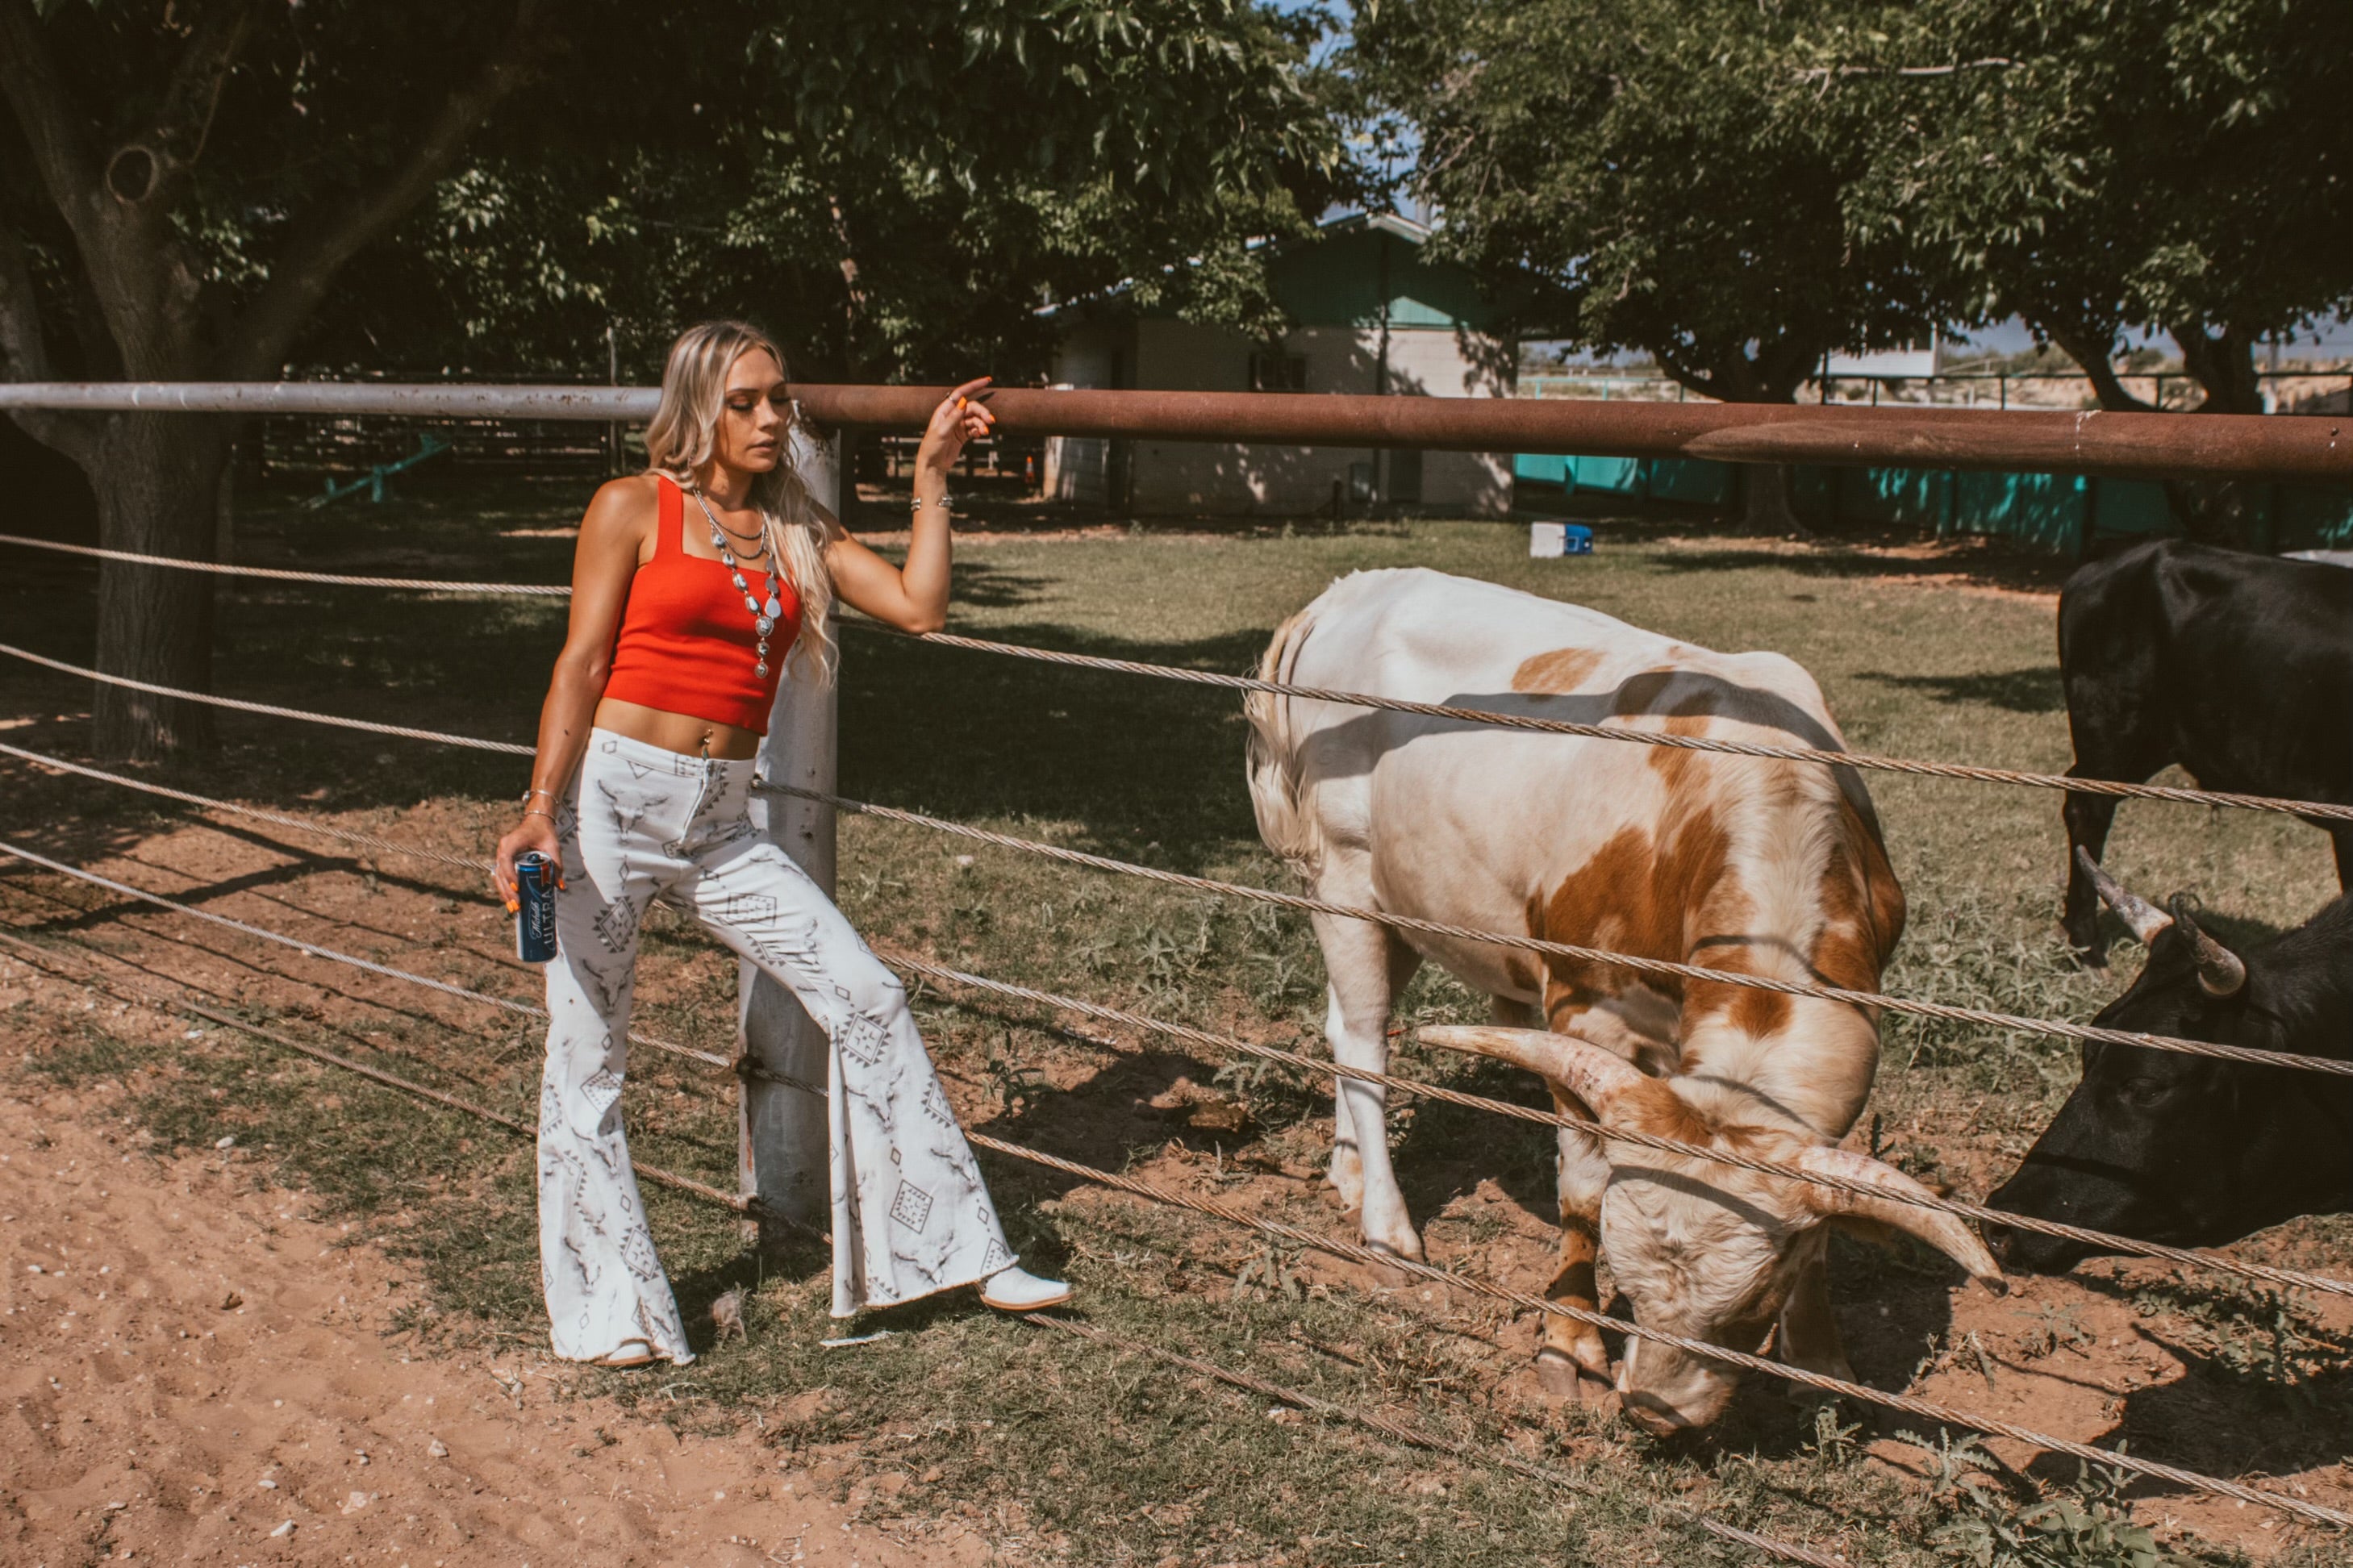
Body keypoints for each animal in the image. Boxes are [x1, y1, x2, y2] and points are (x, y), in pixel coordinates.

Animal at [1242, 572, 1995, 1431]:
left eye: (1752, 1305)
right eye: (1627, 1286)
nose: (1655, 1411)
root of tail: (1351, 592)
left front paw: (1819, 1357)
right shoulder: (1583, 1012)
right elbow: (1580, 1189)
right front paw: (1568, 1344)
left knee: (1341, 1025)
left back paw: (1347, 1172)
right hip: (1342, 878)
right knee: (1366, 1040)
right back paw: (1388, 1230)